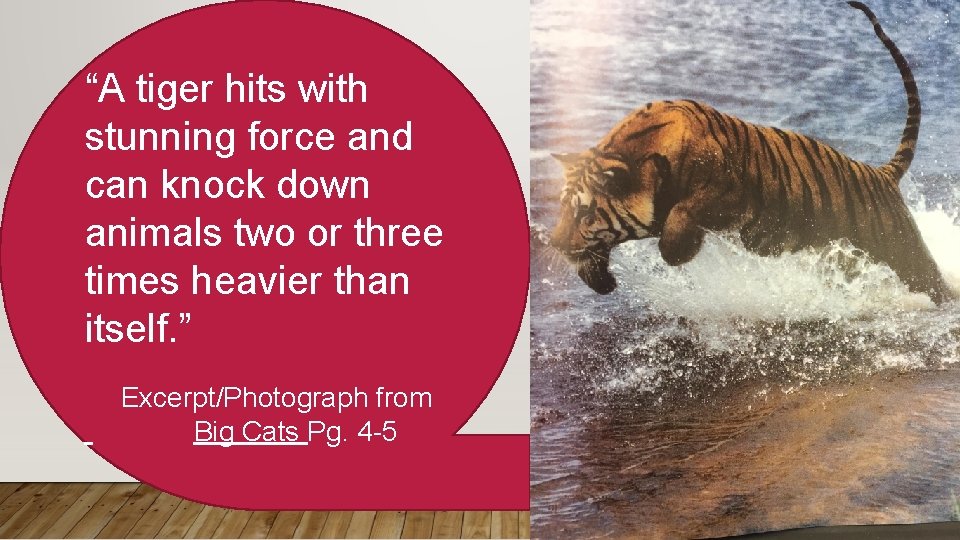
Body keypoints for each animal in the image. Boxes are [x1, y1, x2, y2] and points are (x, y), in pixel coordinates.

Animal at [549, 1, 955, 306]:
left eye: (584, 212)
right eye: (563, 207)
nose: (554, 244)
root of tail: (883, 173)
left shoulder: (729, 195)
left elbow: (680, 218)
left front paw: (680, 251)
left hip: (908, 257)